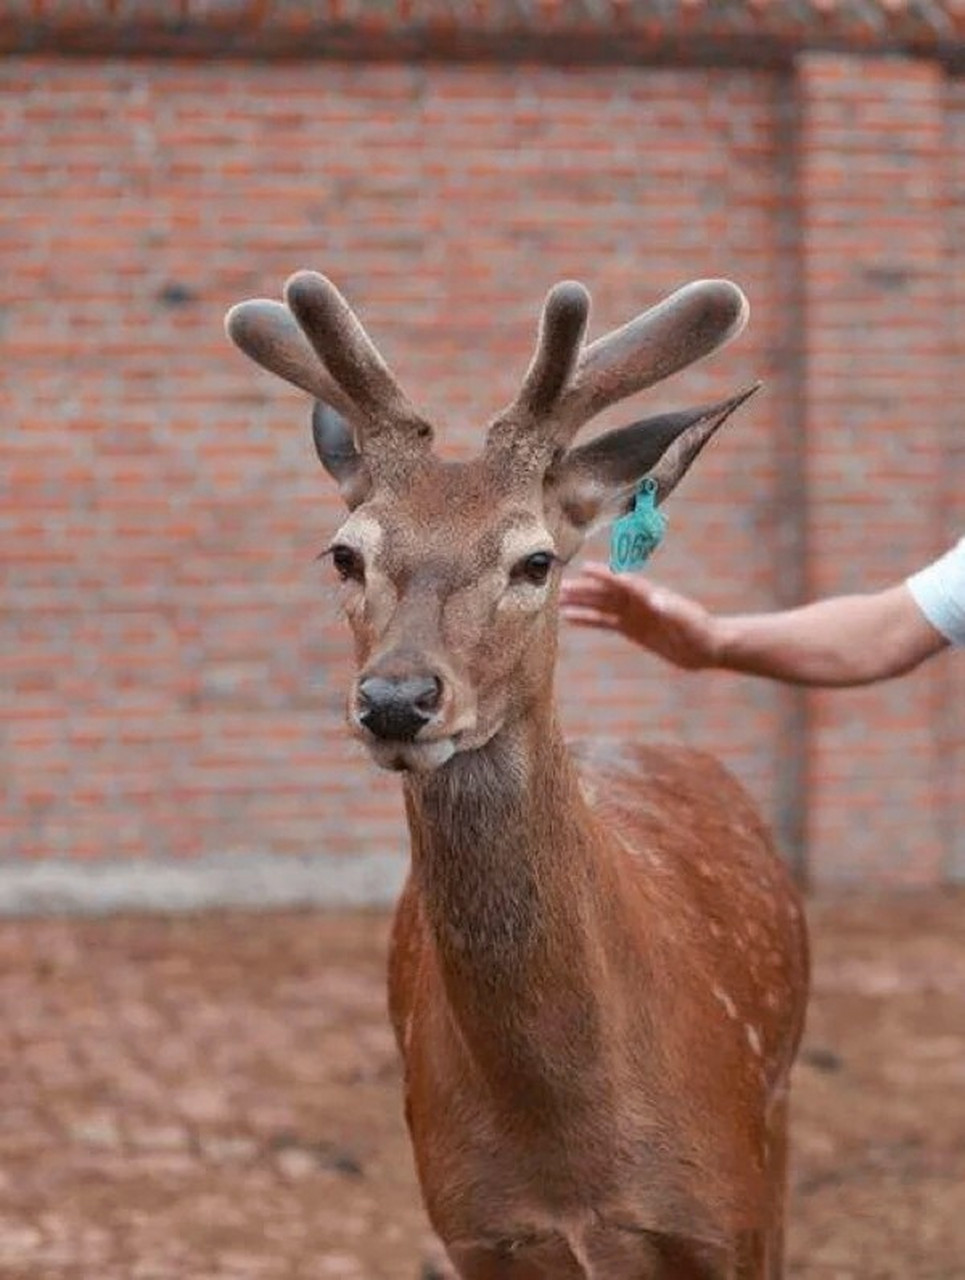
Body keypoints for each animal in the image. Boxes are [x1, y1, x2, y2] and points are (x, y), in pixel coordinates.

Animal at [226, 270, 810, 1279]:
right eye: (345, 552)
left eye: (534, 560)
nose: (396, 699)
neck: (574, 1153)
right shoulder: (471, 1223)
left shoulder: (721, 1209)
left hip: (773, 1130)